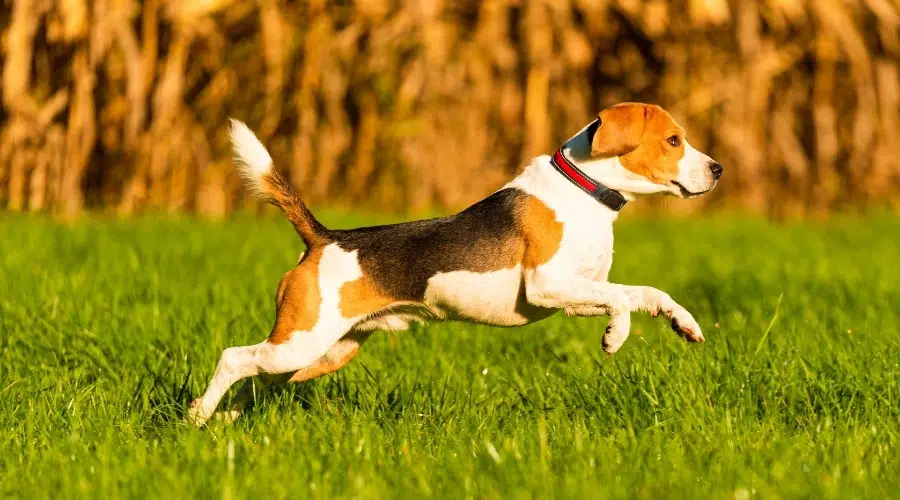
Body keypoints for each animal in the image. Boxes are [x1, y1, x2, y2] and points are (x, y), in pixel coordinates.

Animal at [188, 100, 724, 426]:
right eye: (674, 141)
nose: (719, 169)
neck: (585, 190)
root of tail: (324, 238)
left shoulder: (574, 294)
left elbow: (644, 294)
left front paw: (685, 323)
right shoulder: (546, 283)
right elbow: (621, 302)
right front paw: (615, 337)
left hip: (321, 353)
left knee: (254, 379)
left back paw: (221, 419)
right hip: (300, 343)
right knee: (233, 358)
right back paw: (197, 417)